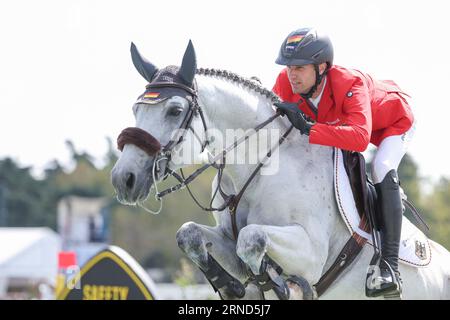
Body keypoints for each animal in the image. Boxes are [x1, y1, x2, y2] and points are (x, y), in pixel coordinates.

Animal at [110, 40, 450, 300]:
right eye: (135, 109)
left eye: (175, 110)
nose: (123, 180)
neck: (258, 169)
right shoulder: (225, 239)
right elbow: (189, 234)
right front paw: (233, 286)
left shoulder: (311, 253)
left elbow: (253, 237)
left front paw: (281, 284)